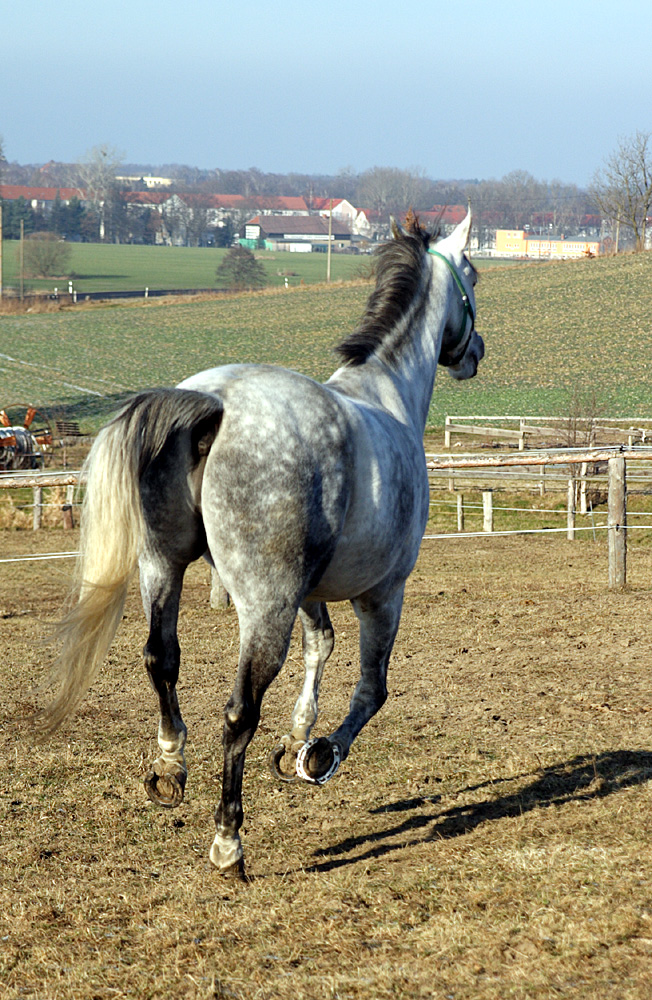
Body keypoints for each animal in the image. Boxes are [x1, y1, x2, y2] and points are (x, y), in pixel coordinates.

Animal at [35, 209, 484, 876]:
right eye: (473, 276)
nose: (474, 353)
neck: (388, 396)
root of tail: (211, 403)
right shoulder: (383, 593)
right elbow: (371, 688)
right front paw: (317, 755)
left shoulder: (311, 590)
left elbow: (320, 648)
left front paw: (296, 738)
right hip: (265, 606)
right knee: (239, 708)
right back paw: (228, 841)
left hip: (163, 567)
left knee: (161, 658)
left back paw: (169, 767)